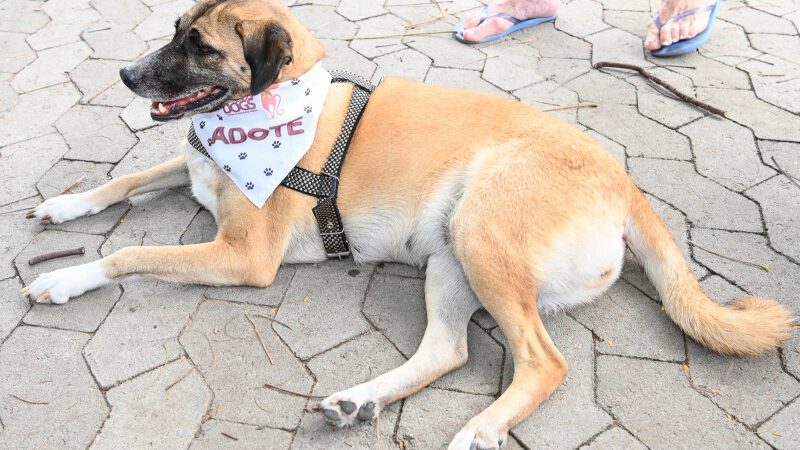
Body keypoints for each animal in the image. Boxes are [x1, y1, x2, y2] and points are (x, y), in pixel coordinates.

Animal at [23, 1, 792, 448]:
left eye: (201, 46)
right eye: (172, 33)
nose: (126, 74)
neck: (259, 116)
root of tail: (622, 179)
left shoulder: (244, 255)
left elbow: (130, 254)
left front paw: (66, 277)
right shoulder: (192, 167)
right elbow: (124, 181)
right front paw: (65, 206)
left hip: (483, 237)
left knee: (543, 361)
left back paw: (480, 428)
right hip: (451, 259)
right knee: (447, 352)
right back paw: (358, 402)